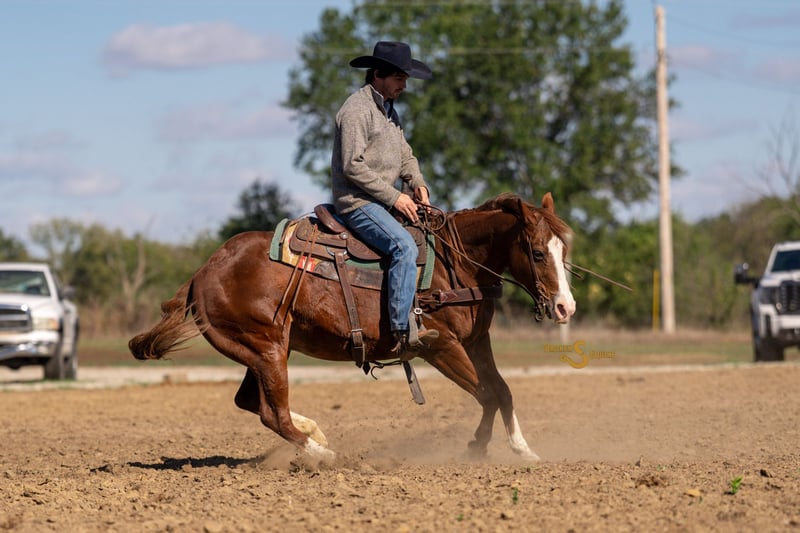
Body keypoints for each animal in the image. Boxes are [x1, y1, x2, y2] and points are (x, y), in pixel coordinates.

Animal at [128, 192, 575, 463]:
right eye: (537, 253)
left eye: (564, 250)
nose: (565, 306)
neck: (455, 264)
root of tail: (203, 273)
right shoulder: (441, 347)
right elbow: (486, 393)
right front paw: (477, 447)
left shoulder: (477, 341)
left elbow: (502, 390)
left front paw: (522, 448)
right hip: (266, 349)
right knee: (273, 414)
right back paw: (321, 455)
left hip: (262, 352)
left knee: (252, 402)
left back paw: (316, 435)